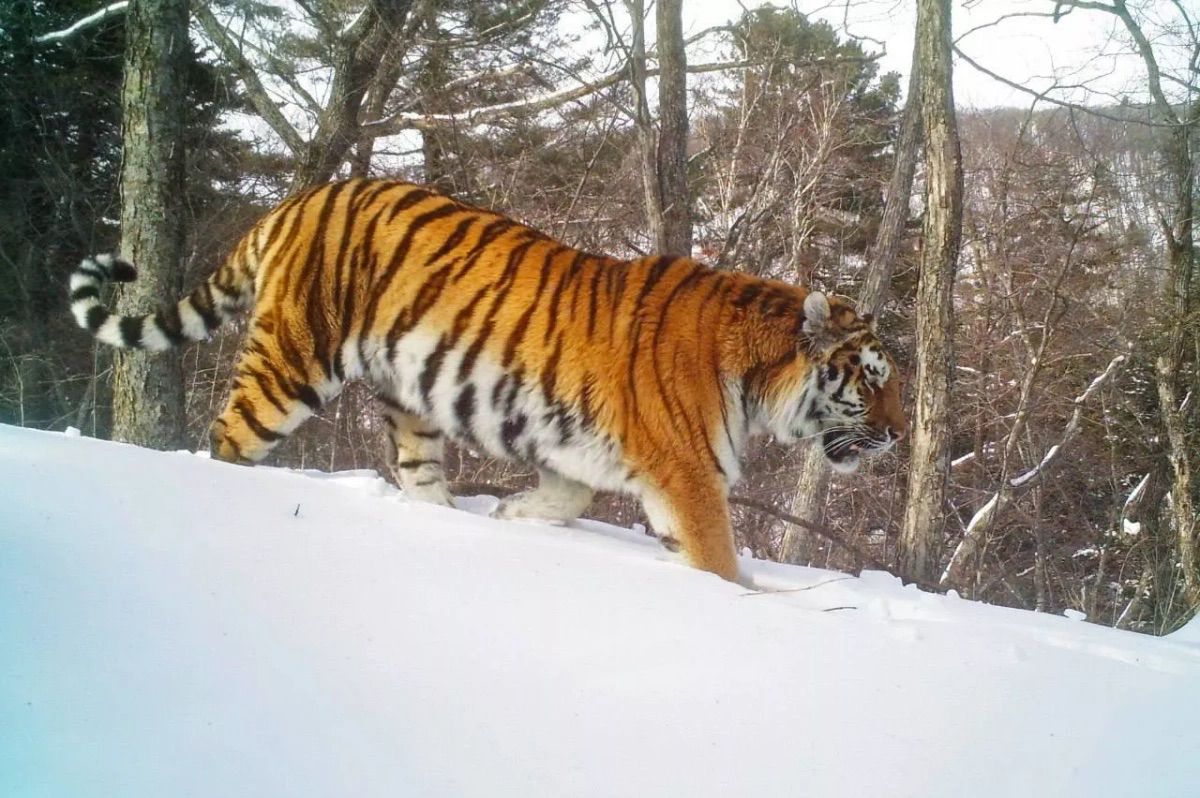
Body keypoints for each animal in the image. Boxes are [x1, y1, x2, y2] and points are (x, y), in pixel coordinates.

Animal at [70, 177, 902, 583]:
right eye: (872, 378)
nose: (897, 434)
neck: (757, 374)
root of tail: (298, 199)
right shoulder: (690, 475)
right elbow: (722, 566)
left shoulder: (590, 449)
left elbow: (570, 498)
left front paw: (511, 519)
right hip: (291, 361)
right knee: (229, 440)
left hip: (409, 398)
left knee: (418, 474)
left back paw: (448, 521)